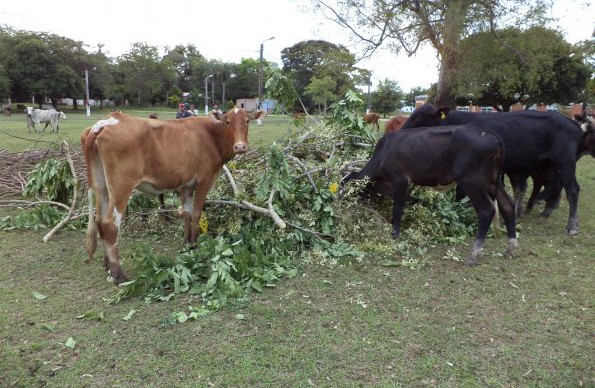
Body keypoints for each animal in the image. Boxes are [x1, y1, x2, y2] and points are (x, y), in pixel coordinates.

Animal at [81, 107, 266, 284]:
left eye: (247, 121)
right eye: (228, 121)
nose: (240, 146)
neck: (211, 135)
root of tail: (106, 122)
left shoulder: (186, 185)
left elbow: (186, 213)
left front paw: (187, 243)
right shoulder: (204, 181)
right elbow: (197, 213)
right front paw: (195, 244)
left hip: (101, 187)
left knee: (99, 221)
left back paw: (107, 265)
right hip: (121, 187)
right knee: (110, 224)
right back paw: (118, 274)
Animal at [342, 124, 520, 266]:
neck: (383, 154)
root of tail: (488, 132)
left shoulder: (400, 181)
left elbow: (397, 211)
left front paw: (395, 237)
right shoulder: (408, 186)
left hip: (472, 181)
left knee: (486, 211)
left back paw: (473, 255)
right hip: (492, 180)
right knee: (507, 205)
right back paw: (510, 249)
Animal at [400, 104, 595, 235]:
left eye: (417, 118)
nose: (400, 132)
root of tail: (570, 121)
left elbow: (460, 195)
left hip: (565, 161)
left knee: (572, 189)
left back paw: (571, 226)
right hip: (547, 164)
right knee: (553, 185)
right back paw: (544, 212)